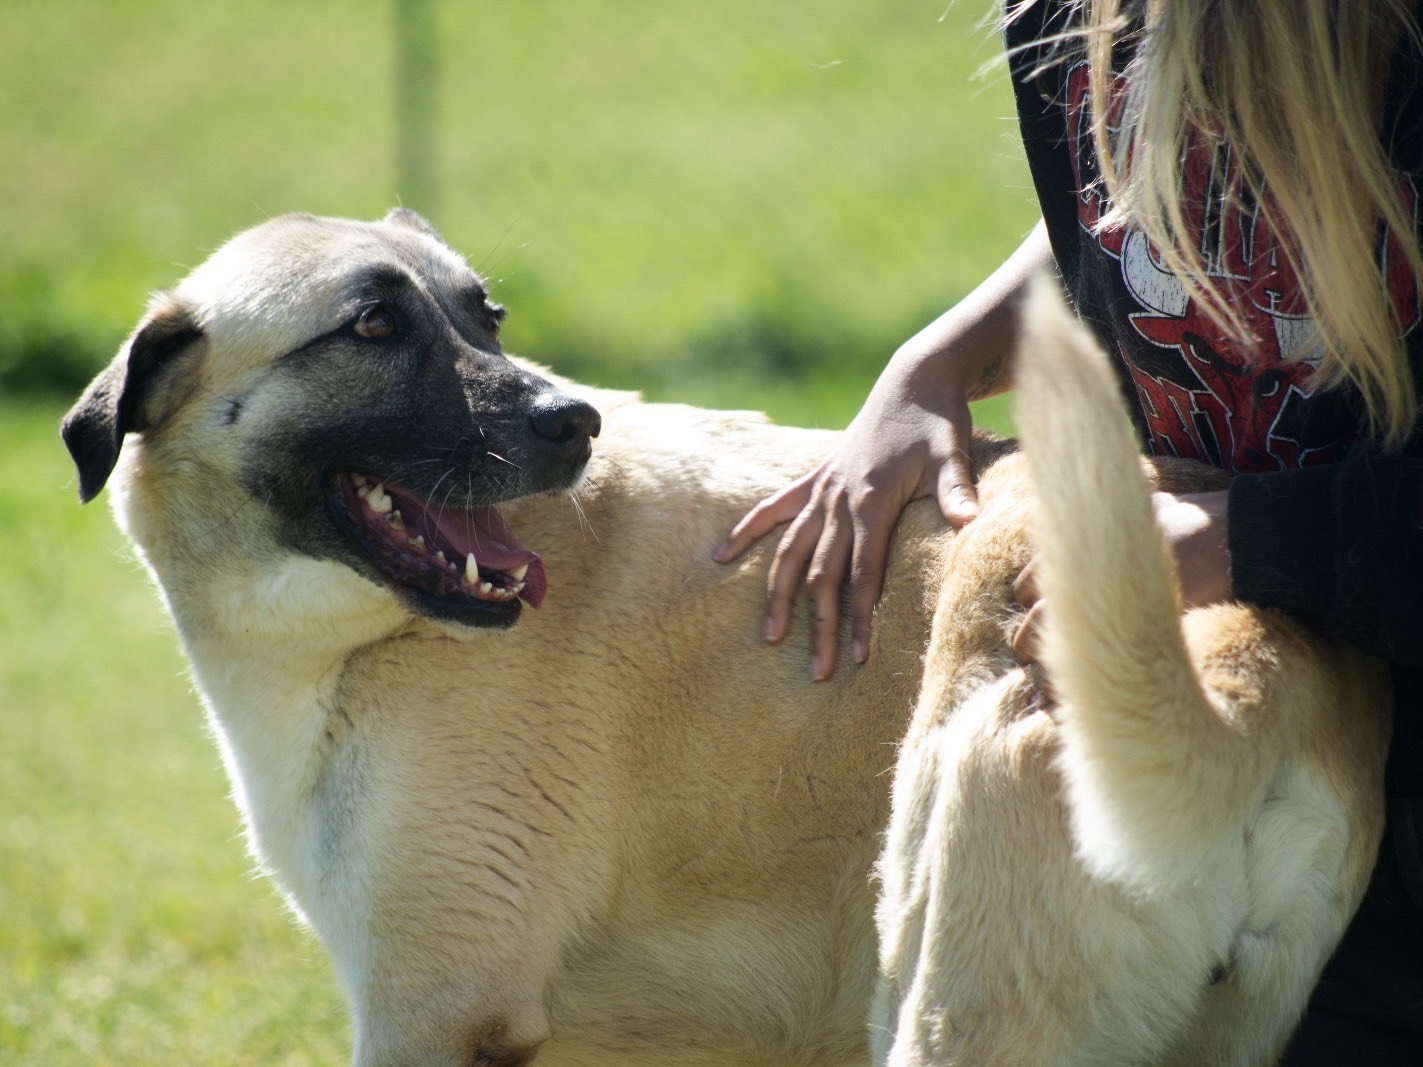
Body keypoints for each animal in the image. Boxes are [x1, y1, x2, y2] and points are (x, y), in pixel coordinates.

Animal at [66, 210, 1388, 1067]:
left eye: (481, 317)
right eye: (374, 330)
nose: (573, 419)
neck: (362, 637)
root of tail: (1244, 654)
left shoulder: (434, 1007)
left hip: (949, 1002)